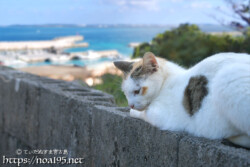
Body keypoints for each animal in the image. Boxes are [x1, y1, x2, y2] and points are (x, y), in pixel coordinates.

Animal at [114, 51, 250, 147]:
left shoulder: (162, 115)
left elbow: (143, 113)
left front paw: (133, 111)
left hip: (227, 78)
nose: (130, 105)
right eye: (125, 93)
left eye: (137, 91)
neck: (166, 82)